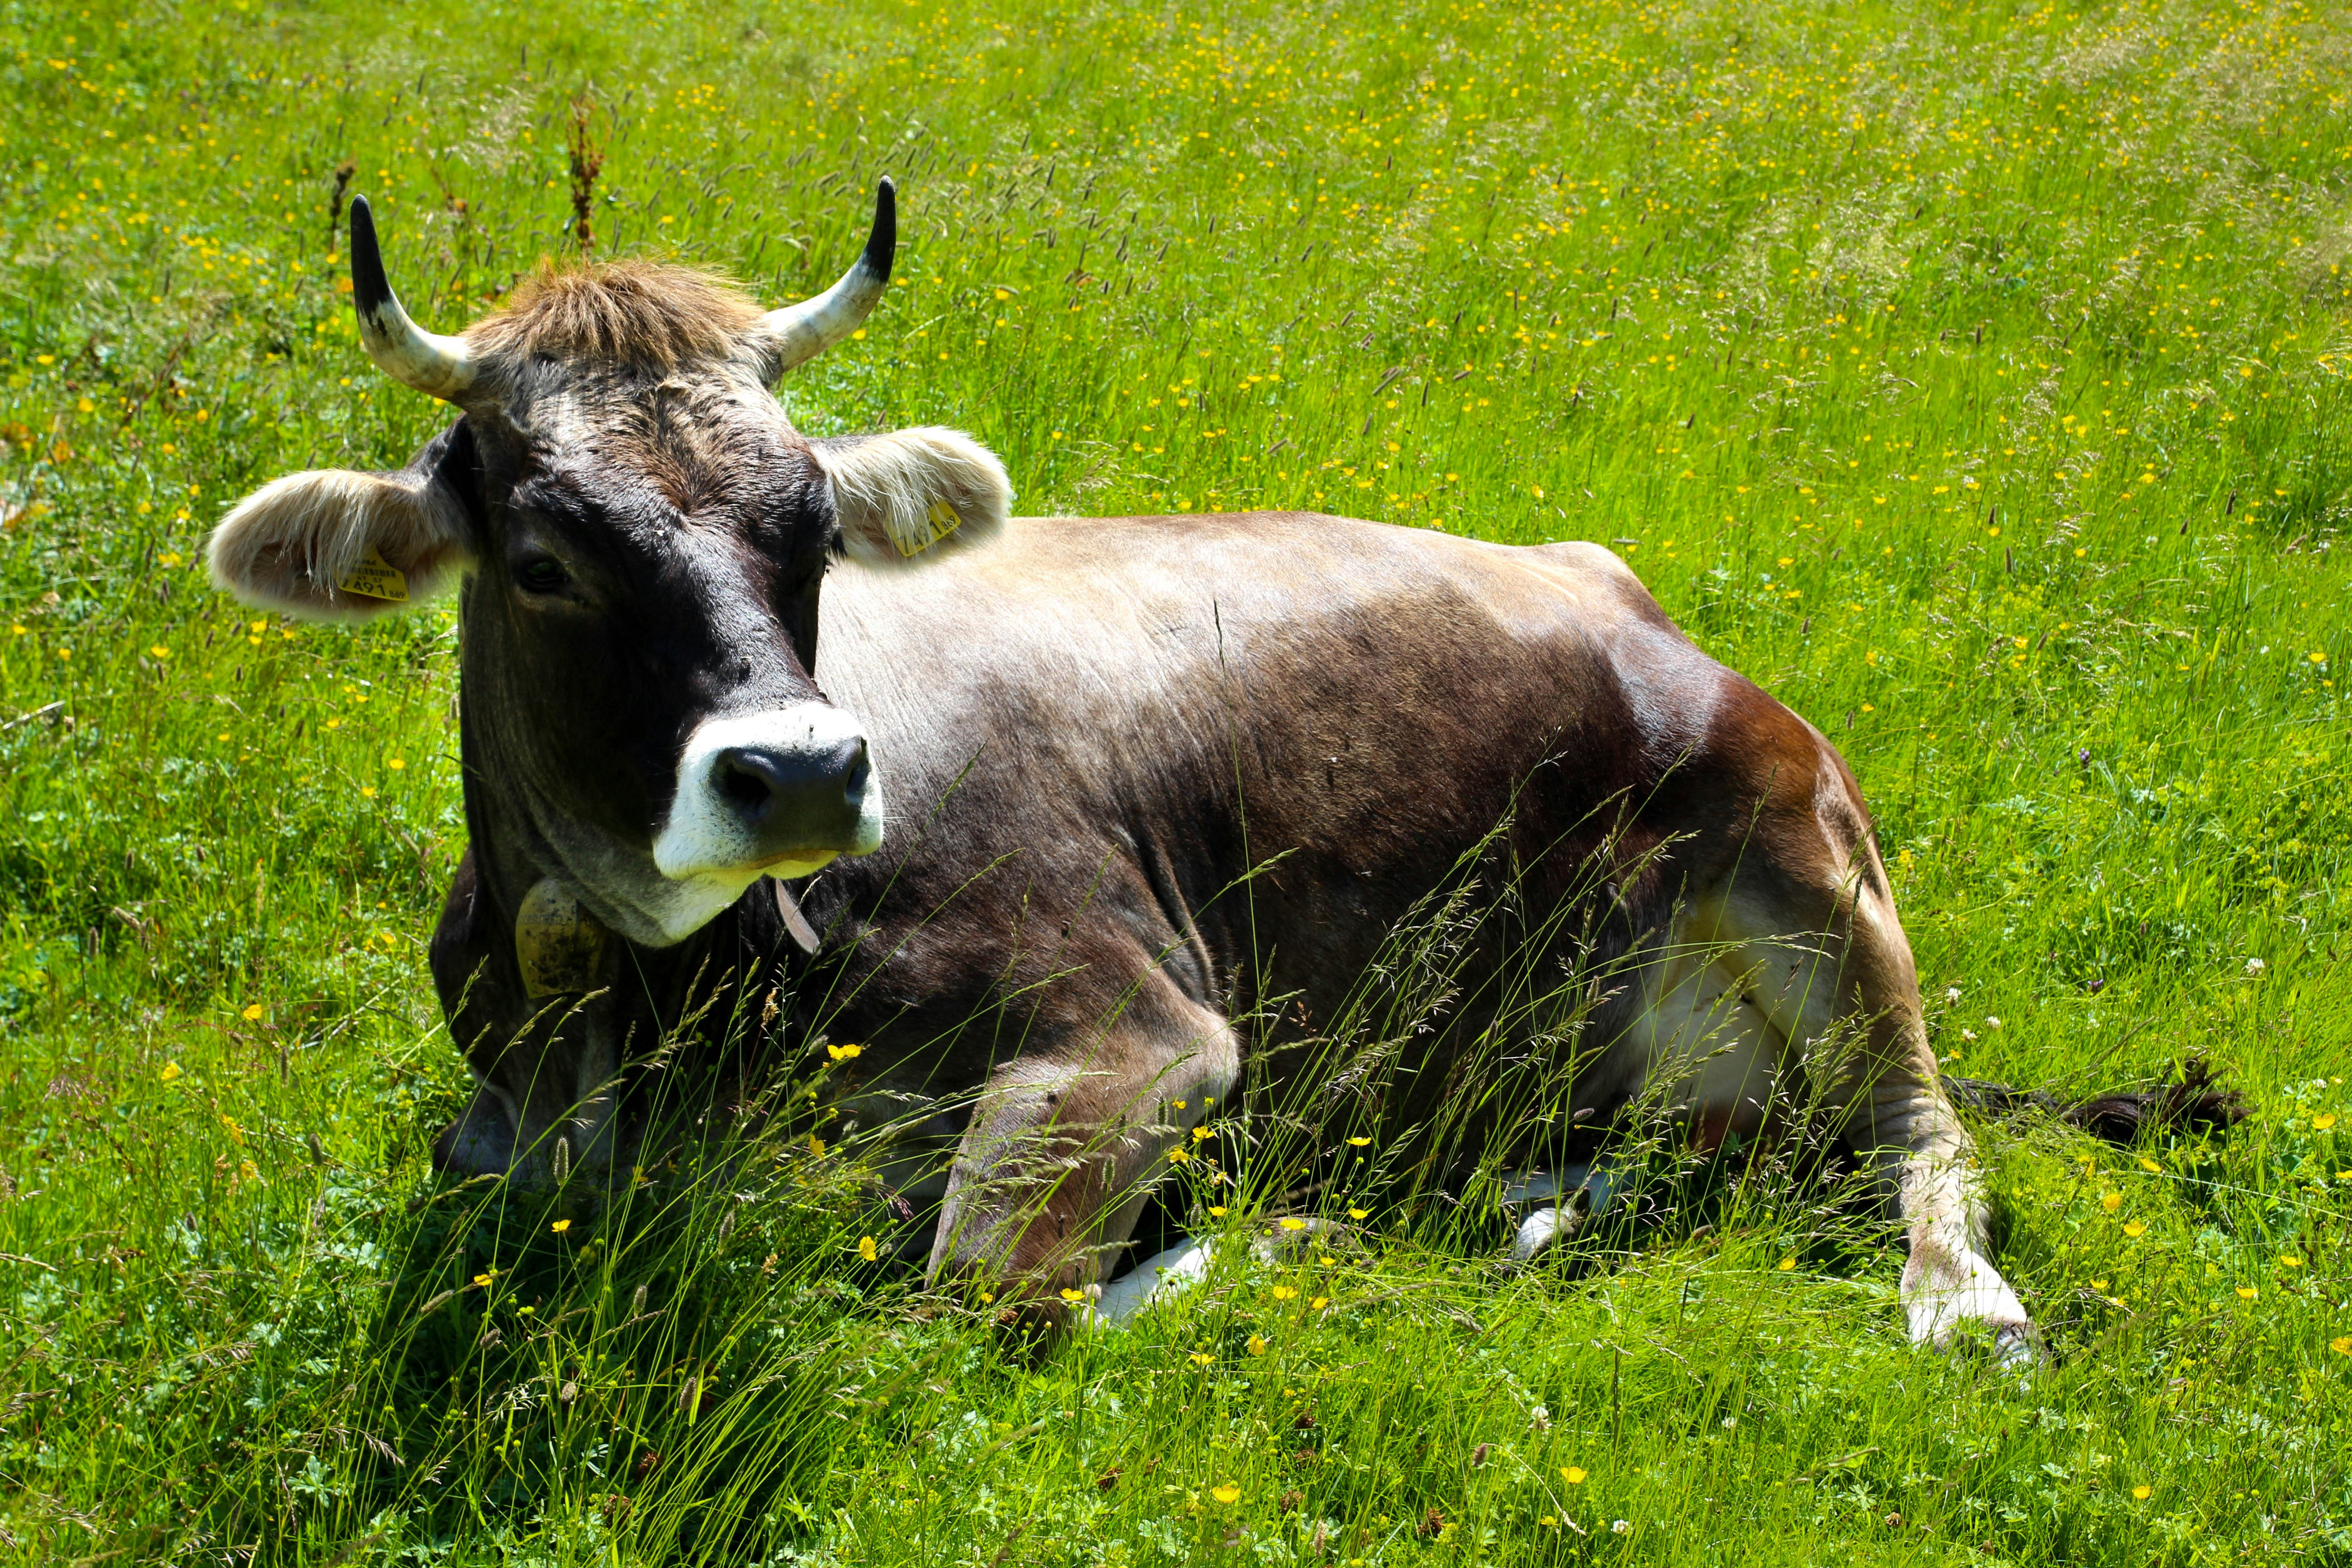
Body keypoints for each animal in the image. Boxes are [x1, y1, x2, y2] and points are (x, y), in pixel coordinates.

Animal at [209, 180, 2045, 1364]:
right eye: (542, 562)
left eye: (816, 529)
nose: (800, 772)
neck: (644, 1016)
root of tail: (1619, 587)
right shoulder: (501, 1133)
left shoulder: (1137, 1033)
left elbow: (975, 1295)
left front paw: (1283, 1237)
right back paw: (1552, 1190)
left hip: (1810, 872)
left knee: (1926, 1139)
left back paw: (1962, 1307)